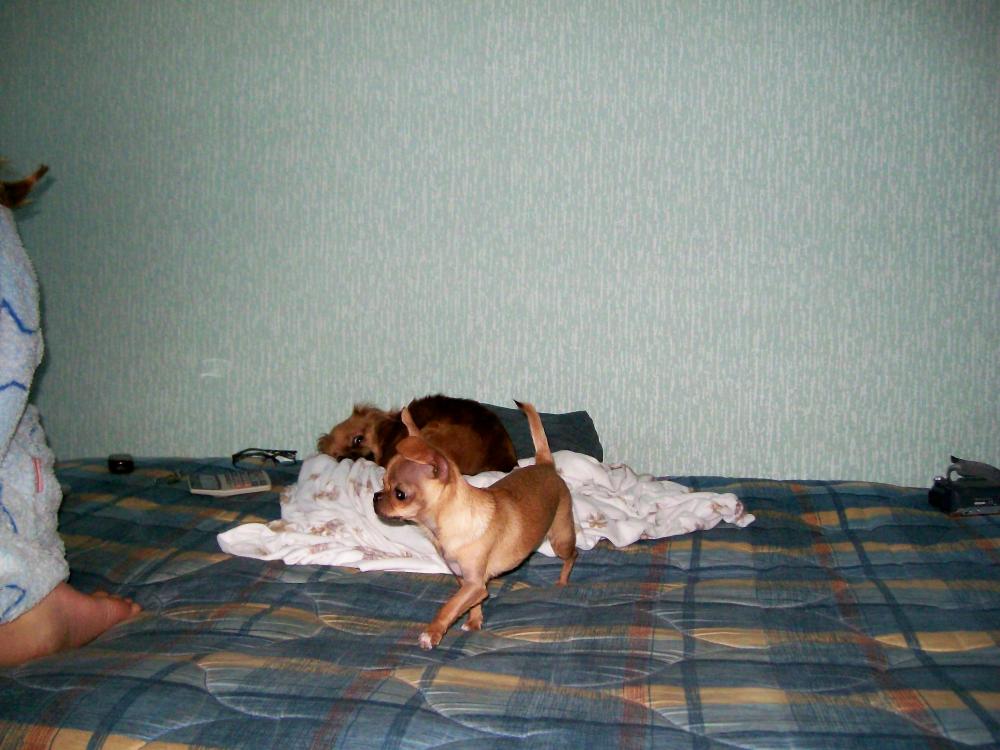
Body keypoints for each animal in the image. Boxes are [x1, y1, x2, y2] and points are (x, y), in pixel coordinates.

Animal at [374, 400, 577, 650]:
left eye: (400, 494)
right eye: (382, 482)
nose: (375, 497)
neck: (445, 527)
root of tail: (545, 464)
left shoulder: (474, 584)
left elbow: (449, 606)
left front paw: (432, 633)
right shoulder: (467, 582)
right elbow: (469, 604)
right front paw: (474, 621)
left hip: (560, 539)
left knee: (573, 554)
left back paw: (563, 581)